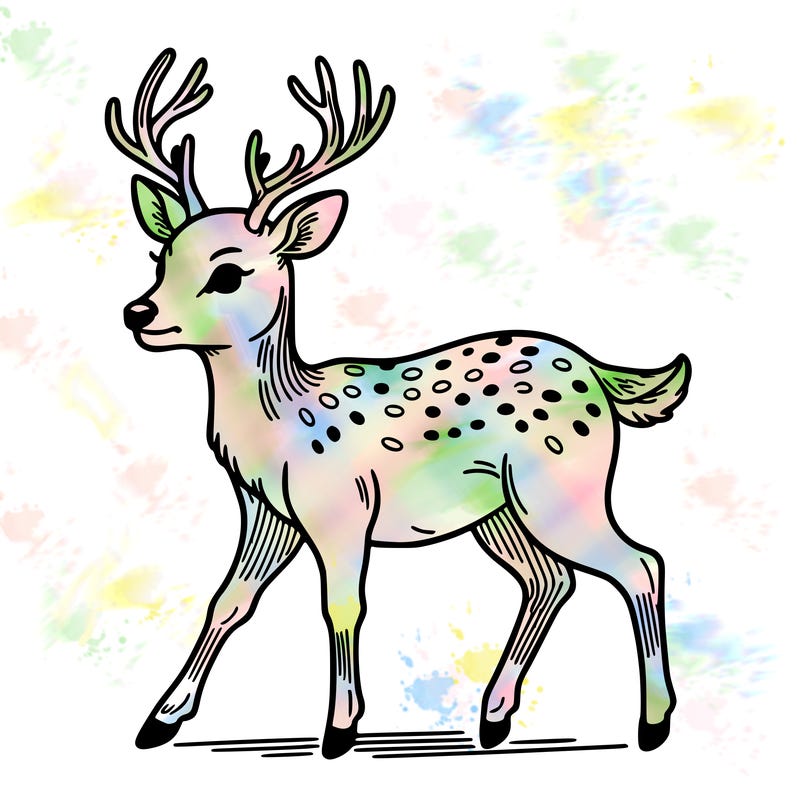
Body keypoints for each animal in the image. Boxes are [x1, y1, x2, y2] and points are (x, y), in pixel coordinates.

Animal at [107, 49, 690, 758]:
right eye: (160, 255)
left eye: (227, 272)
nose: (138, 314)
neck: (278, 424)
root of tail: (599, 375)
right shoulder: (267, 514)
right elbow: (230, 600)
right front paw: (160, 719)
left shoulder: (343, 509)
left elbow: (342, 605)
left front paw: (339, 729)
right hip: (501, 511)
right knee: (550, 580)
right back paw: (494, 717)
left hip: (562, 484)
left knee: (639, 563)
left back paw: (652, 723)